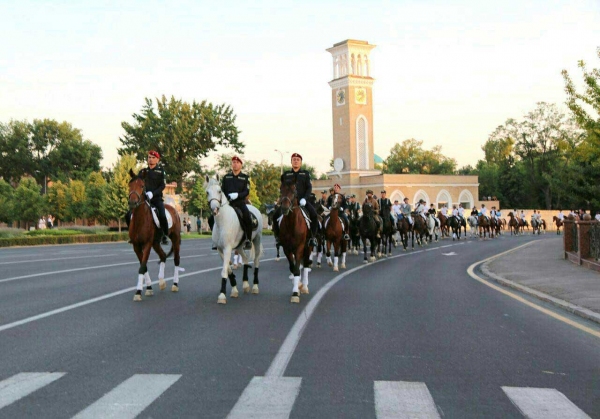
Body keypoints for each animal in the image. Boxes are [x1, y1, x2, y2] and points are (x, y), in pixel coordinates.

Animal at [127, 170, 182, 302]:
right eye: (129, 185)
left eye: (142, 186)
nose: (132, 202)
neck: (140, 220)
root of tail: (174, 209)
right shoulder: (136, 246)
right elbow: (144, 266)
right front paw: (148, 288)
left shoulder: (147, 244)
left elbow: (142, 266)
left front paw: (138, 292)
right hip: (156, 243)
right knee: (163, 256)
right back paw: (161, 281)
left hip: (175, 238)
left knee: (176, 259)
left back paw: (175, 284)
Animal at [206, 176, 262, 306]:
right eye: (207, 192)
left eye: (219, 191)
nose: (214, 209)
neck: (222, 222)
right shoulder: (220, 250)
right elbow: (228, 269)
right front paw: (234, 289)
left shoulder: (227, 249)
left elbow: (224, 271)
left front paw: (222, 295)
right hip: (240, 246)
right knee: (245, 259)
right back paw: (245, 284)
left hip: (257, 240)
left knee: (256, 261)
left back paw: (255, 286)